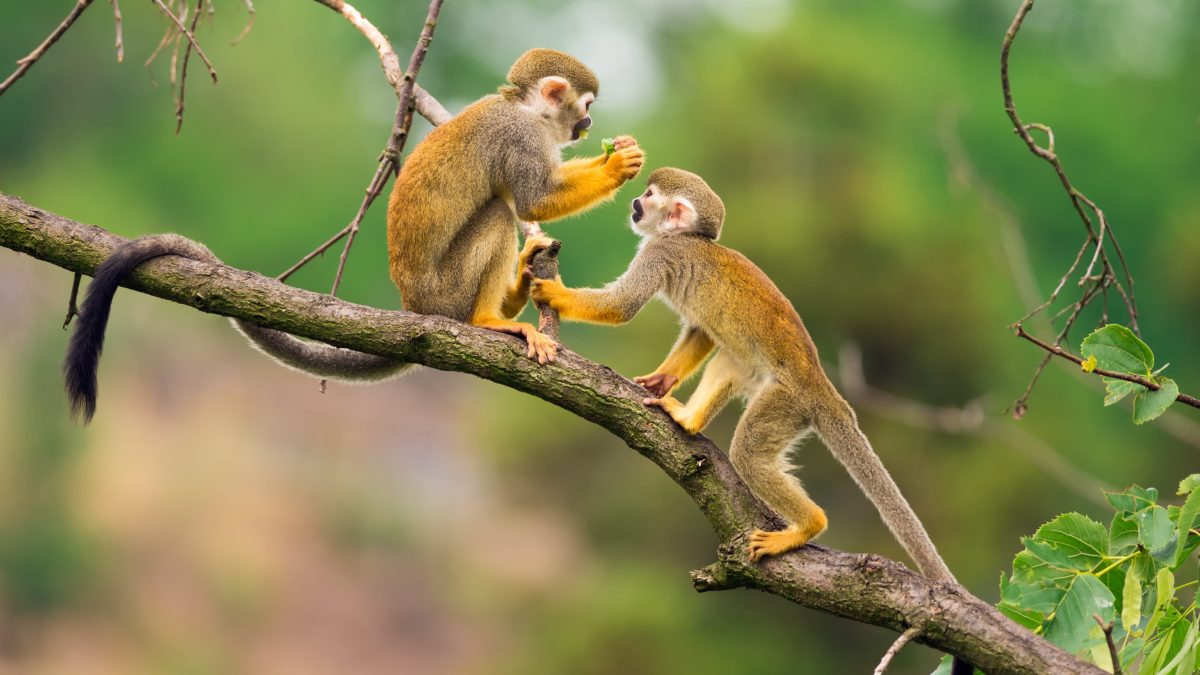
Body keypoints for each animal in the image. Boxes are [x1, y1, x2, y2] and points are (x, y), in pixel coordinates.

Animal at [63, 48, 644, 422]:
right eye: (585, 106)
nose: (589, 126)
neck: (526, 110)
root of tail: (413, 307)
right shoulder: (519, 137)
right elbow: (531, 200)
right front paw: (618, 167)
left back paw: (520, 285)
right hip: (446, 291)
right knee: (499, 214)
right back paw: (489, 320)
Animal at [529, 167, 957, 582]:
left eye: (649, 196)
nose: (635, 202)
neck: (686, 238)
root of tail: (824, 389)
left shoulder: (661, 252)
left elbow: (623, 306)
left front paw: (554, 293)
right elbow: (700, 331)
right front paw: (662, 380)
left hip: (787, 402)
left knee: (748, 451)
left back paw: (808, 525)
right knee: (730, 359)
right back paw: (689, 419)